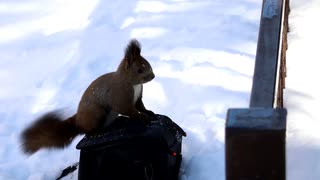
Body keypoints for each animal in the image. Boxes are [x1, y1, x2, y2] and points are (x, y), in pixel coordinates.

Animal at [20, 39, 156, 155]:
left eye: (148, 64)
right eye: (139, 70)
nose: (153, 76)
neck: (133, 84)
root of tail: (78, 122)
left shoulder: (137, 97)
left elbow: (140, 106)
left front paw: (149, 112)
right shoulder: (120, 96)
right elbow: (128, 110)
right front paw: (142, 116)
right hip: (96, 113)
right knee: (88, 131)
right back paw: (98, 132)